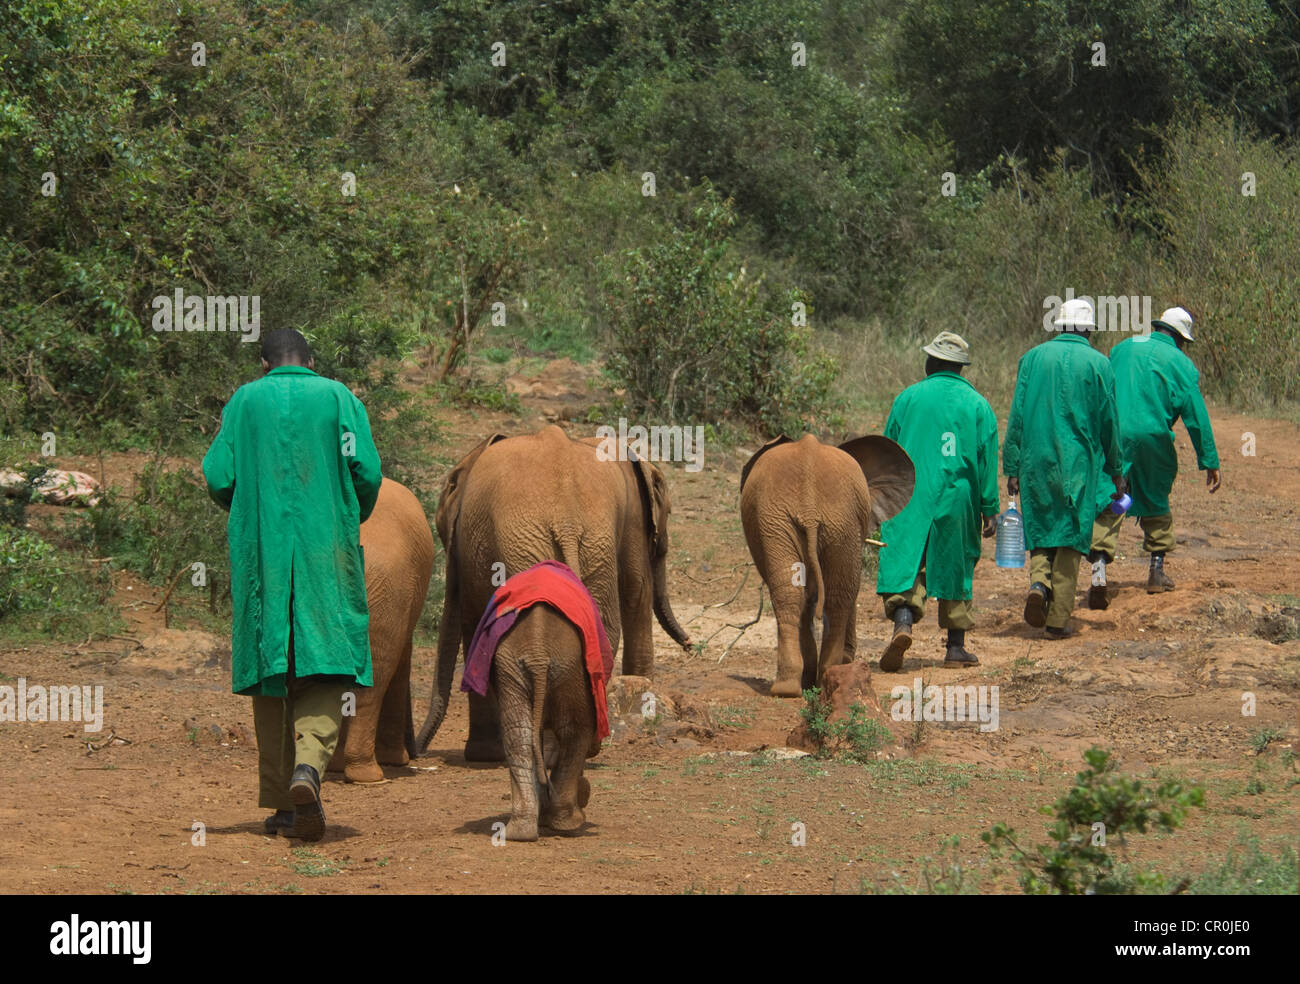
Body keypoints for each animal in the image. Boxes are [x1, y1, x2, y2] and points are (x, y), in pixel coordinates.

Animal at [416, 423, 696, 759]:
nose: (690, 645)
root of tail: (567, 521)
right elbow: (636, 592)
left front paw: (484, 755)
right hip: (576, 545)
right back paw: (576, 747)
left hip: (540, 546)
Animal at [462, 561, 613, 837]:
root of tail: (538, 656)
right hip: (570, 668)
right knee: (575, 731)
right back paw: (569, 823)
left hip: (512, 666)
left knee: (518, 734)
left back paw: (521, 831)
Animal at [743, 434, 915, 696]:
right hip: (814, 520)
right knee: (830, 596)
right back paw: (811, 681)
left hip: (825, 521)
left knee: (808, 594)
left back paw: (797, 686)